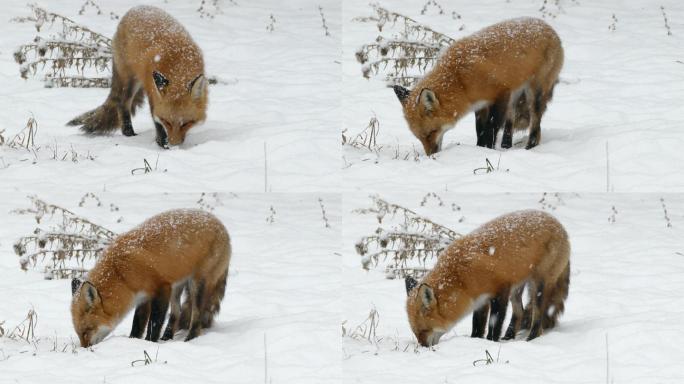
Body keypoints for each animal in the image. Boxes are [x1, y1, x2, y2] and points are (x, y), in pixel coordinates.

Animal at [69, 7, 211, 148]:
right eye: (167, 121)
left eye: (186, 123)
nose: (173, 145)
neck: (178, 65)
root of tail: (134, 9)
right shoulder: (152, 92)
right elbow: (156, 120)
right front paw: (162, 143)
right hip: (130, 80)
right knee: (122, 104)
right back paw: (129, 133)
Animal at [71, 208, 230, 346]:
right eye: (78, 334)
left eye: (86, 331)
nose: (85, 349)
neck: (121, 274)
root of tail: (222, 225)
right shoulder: (143, 297)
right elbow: (138, 324)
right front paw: (133, 341)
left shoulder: (161, 288)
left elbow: (154, 323)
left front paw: (150, 343)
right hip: (177, 285)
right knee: (176, 313)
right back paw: (167, 337)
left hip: (197, 284)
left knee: (196, 316)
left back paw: (190, 339)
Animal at [392, 17, 564, 154]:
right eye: (419, 137)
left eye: (431, 133)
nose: (431, 155)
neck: (460, 79)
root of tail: (549, 27)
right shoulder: (481, 104)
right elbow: (480, 130)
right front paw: (479, 149)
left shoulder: (501, 95)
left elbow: (491, 128)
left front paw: (488, 150)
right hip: (516, 92)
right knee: (511, 120)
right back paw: (506, 145)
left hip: (534, 92)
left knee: (535, 124)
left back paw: (530, 147)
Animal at [404, 208, 568, 346]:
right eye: (415, 332)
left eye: (423, 330)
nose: (423, 347)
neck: (461, 277)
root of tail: (559, 224)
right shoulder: (481, 300)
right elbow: (477, 325)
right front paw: (476, 341)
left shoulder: (501, 291)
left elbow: (494, 324)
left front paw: (491, 342)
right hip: (517, 287)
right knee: (520, 312)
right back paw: (508, 337)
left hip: (538, 284)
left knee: (537, 315)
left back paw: (530, 338)